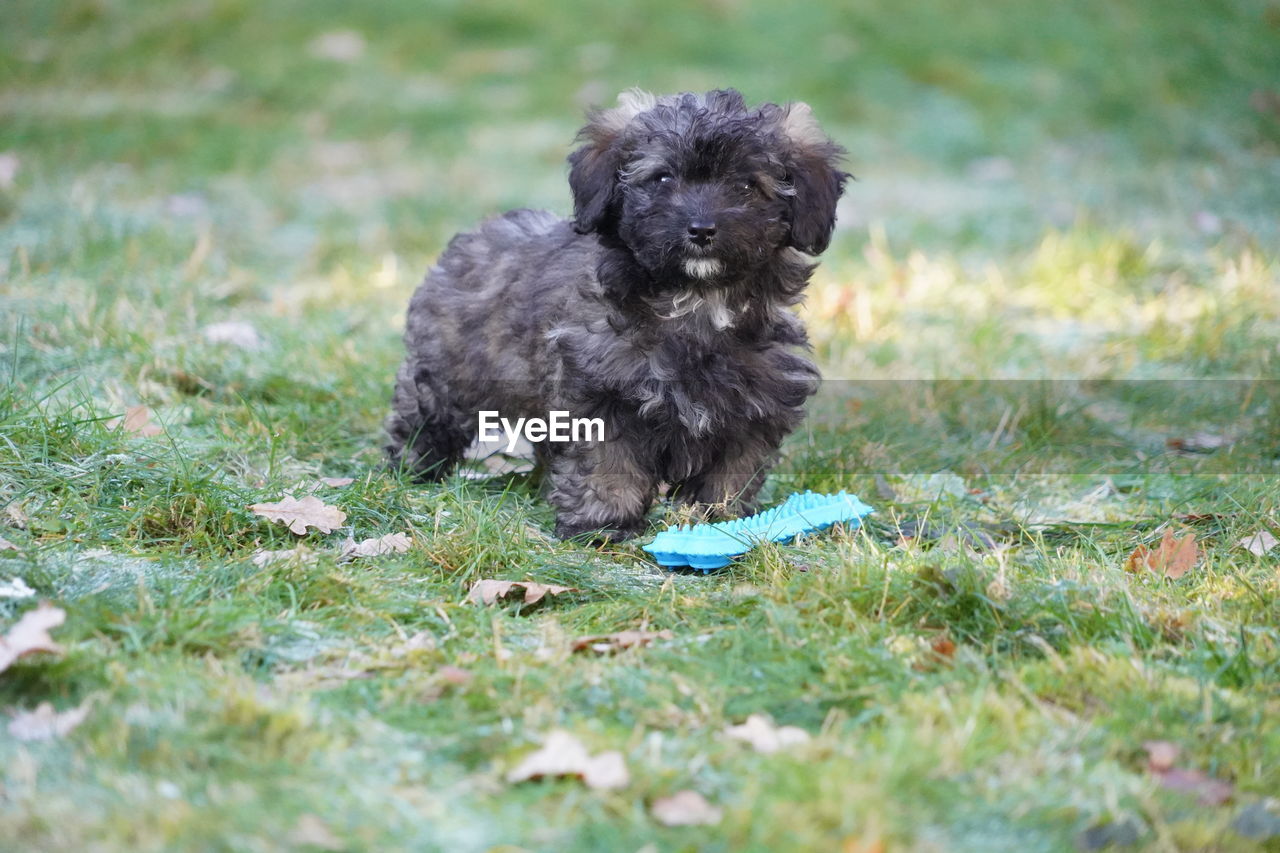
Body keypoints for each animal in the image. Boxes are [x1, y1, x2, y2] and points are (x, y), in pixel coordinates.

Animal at [389, 86, 849, 537]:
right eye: (662, 178)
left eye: (747, 186)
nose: (701, 230)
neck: (696, 303)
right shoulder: (599, 392)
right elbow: (608, 465)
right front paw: (603, 524)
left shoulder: (756, 405)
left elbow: (732, 473)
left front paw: (722, 523)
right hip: (446, 375)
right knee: (424, 416)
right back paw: (413, 469)